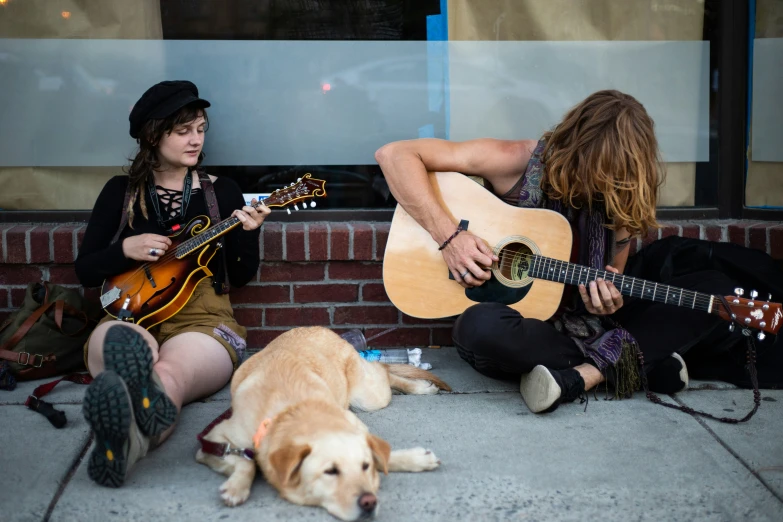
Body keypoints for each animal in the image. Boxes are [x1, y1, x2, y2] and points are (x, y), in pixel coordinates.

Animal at [198, 324, 454, 516]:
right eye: (330, 472)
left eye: (364, 467)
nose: (369, 502)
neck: (292, 409)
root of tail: (322, 328)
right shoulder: (212, 442)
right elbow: (246, 461)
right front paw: (237, 487)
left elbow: (381, 453)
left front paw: (415, 459)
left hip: (368, 396)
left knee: (383, 370)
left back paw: (420, 387)